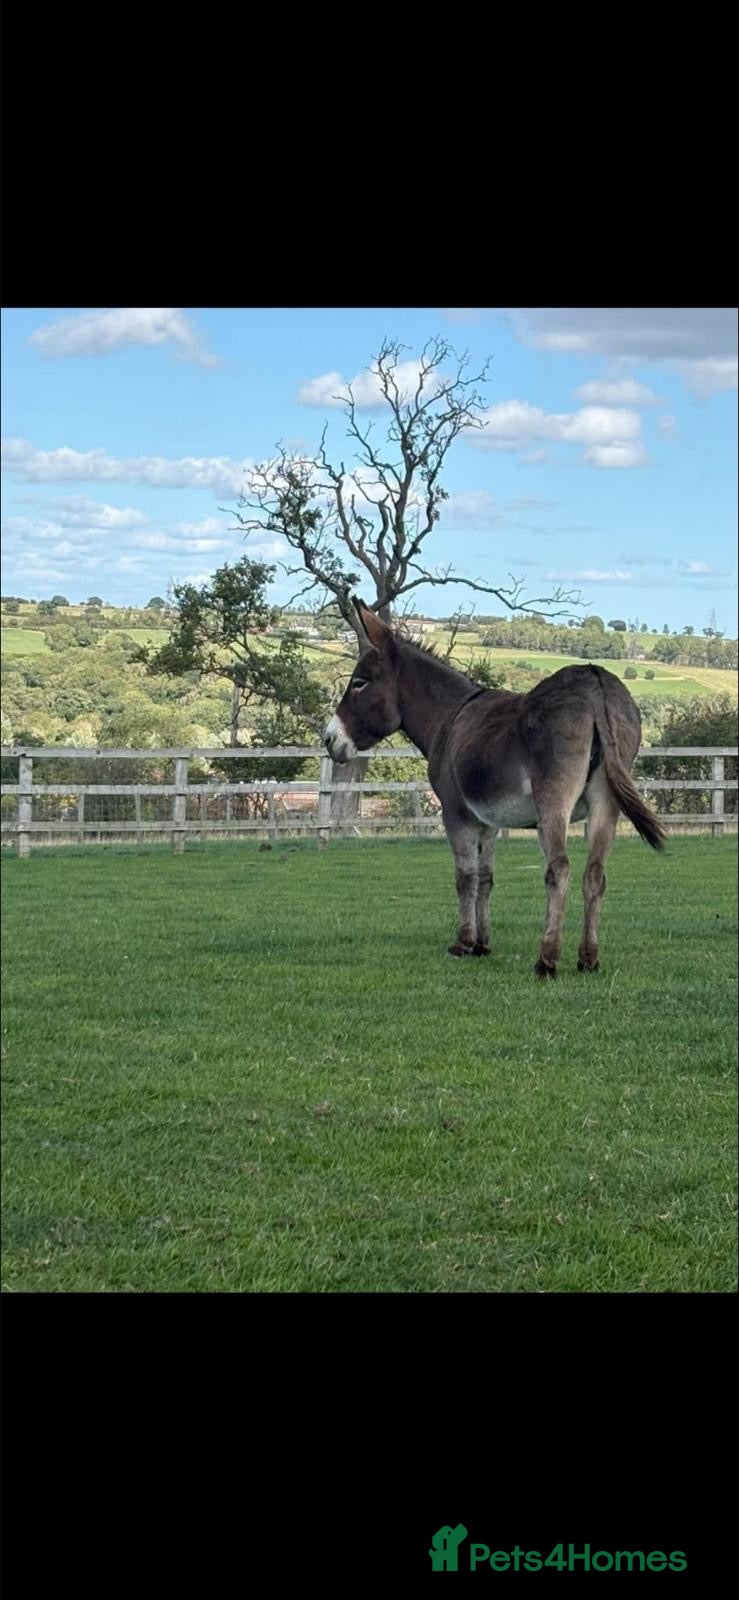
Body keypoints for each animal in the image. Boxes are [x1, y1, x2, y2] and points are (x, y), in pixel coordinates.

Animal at [323, 598, 665, 978]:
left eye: (359, 683)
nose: (328, 740)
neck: (449, 716)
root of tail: (595, 681)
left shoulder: (455, 813)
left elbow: (465, 877)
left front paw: (463, 943)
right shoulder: (487, 819)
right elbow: (486, 877)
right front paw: (483, 944)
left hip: (553, 800)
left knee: (559, 870)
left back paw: (547, 959)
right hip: (606, 803)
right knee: (595, 874)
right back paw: (588, 958)